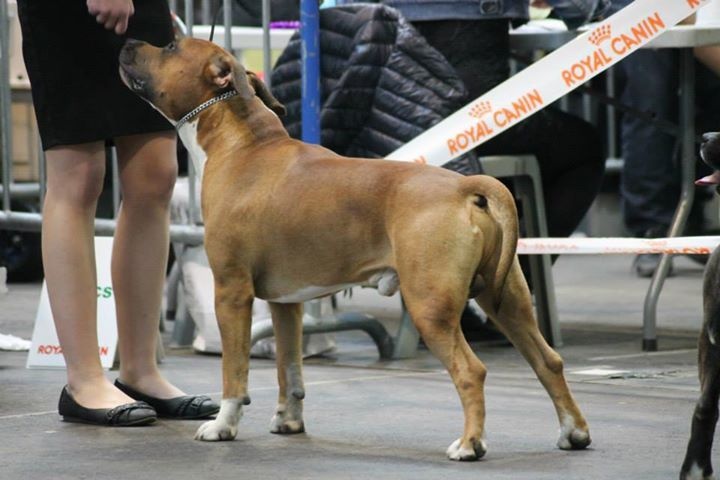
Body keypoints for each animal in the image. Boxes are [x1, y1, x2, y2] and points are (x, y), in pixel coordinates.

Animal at [118, 37, 590, 460]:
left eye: (170, 47)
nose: (126, 43)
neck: (243, 143)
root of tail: (466, 186)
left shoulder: (232, 292)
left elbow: (234, 370)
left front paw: (223, 425)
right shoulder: (286, 303)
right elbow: (290, 367)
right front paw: (289, 421)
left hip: (430, 307)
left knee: (471, 371)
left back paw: (470, 445)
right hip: (508, 300)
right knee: (548, 361)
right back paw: (574, 432)